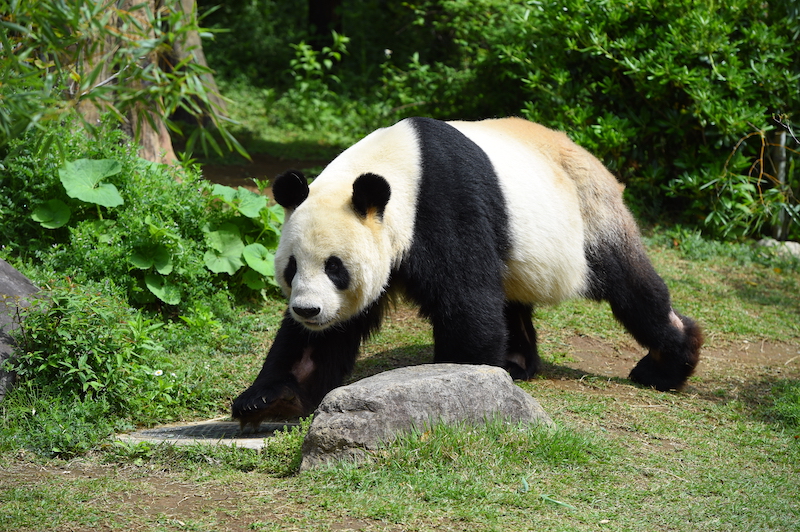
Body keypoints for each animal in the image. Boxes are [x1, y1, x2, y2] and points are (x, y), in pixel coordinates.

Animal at [230, 117, 700, 432]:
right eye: (292, 266)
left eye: (335, 267)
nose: (307, 310)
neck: (398, 169)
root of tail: (590, 156)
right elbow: (323, 339)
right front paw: (270, 400)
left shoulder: (444, 204)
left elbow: (466, 300)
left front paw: (460, 383)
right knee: (510, 299)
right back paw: (517, 363)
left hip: (589, 216)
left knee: (631, 288)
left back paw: (666, 365)